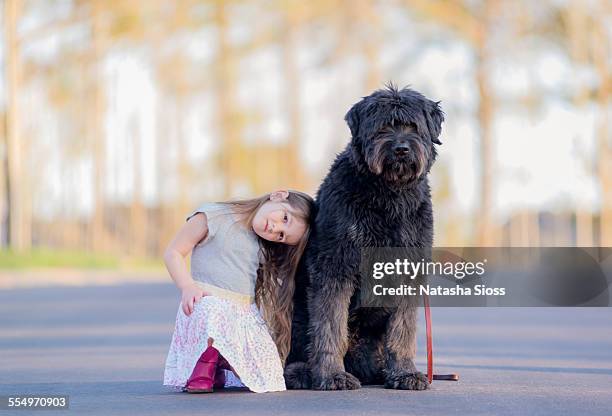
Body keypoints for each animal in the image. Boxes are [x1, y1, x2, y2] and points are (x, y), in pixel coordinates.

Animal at [284, 84, 442, 390]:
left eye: (413, 127)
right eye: (382, 127)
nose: (401, 149)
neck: (389, 195)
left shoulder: (409, 269)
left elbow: (403, 330)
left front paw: (404, 373)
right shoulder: (335, 264)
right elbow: (330, 327)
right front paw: (332, 375)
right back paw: (303, 372)